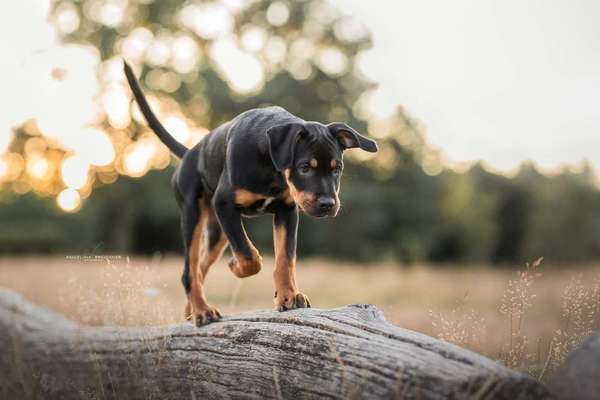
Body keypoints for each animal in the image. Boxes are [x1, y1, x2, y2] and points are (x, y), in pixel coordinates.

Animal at [123, 61, 378, 324]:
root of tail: (189, 154)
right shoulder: (225, 204)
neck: (270, 164)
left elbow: (286, 258)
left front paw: (288, 295)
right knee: (189, 271)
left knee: (200, 268)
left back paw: (192, 309)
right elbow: (249, 256)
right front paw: (236, 266)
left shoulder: (287, 211)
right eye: (305, 167)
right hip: (194, 215)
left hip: (217, 233)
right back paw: (203, 311)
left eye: (337, 169)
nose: (328, 204)